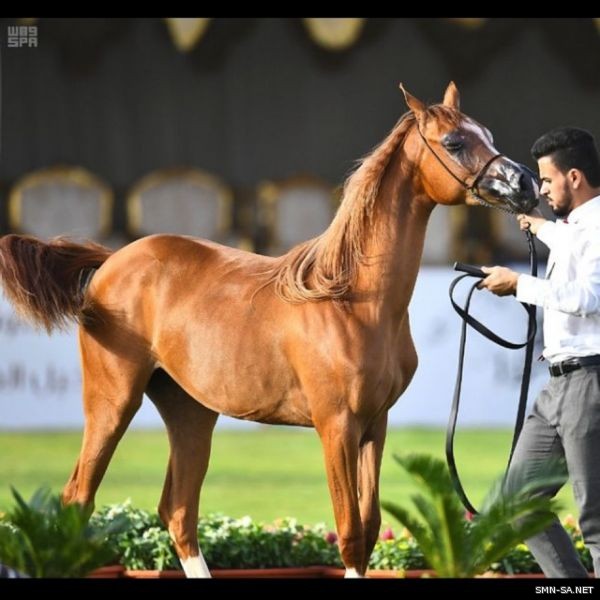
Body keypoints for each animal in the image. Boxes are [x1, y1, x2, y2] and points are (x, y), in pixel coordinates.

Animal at [0, 83, 536, 576]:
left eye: (486, 134)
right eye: (454, 142)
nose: (525, 183)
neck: (352, 300)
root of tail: (112, 260)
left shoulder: (374, 425)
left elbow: (367, 528)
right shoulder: (336, 426)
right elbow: (349, 533)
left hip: (190, 411)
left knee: (178, 512)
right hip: (112, 401)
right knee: (79, 499)